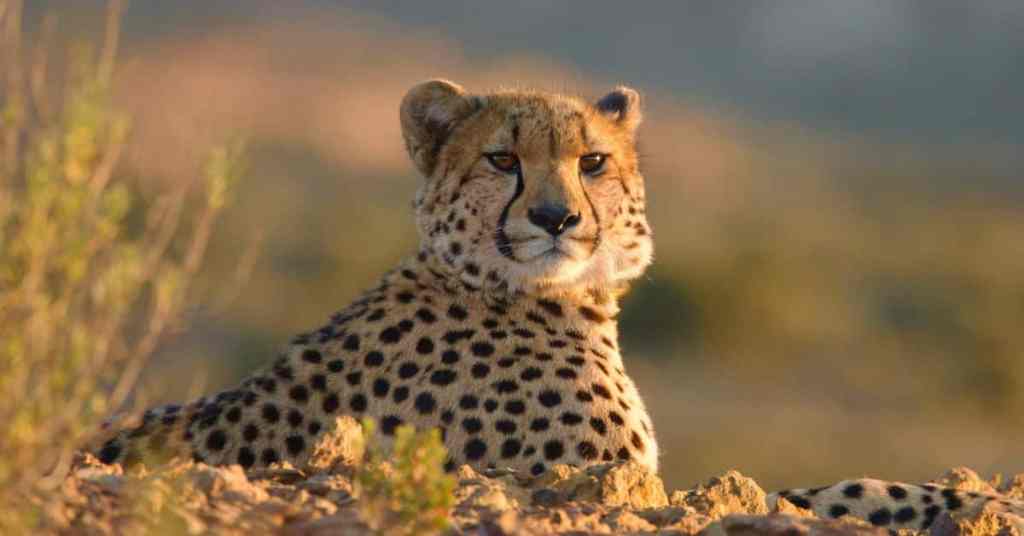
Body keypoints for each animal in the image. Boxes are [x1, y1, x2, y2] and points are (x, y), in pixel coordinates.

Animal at [93, 79, 1023, 531]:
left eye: (594, 162)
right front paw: (958, 502)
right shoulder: (608, 486)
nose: (555, 218)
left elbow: (818, 491)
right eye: (503, 159)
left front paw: (962, 497)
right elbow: (805, 495)